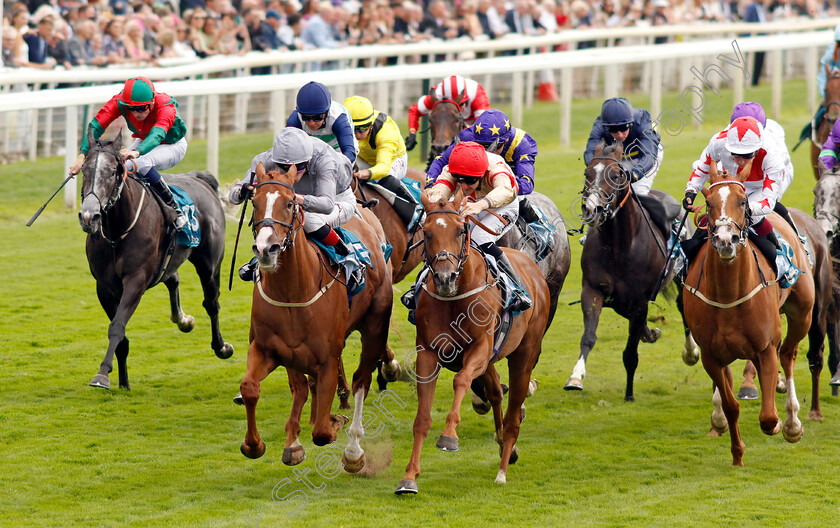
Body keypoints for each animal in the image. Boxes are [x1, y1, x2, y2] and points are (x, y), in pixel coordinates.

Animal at [78, 130, 233, 390]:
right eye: (85, 171)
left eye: (112, 172)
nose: (90, 216)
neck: (117, 232)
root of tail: (199, 178)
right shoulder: (104, 287)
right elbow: (120, 334)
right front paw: (123, 382)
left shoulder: (136, 281)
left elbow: (117, 327)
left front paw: (102, 375)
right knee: (173, 278)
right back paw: (183, 319)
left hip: (209, 264)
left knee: (212, 303)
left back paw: (221, 346)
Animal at [238, 163, 392, 472]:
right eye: (255, 202)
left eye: (289, 202)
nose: (266, 249)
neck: (292, 294)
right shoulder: (267, 348)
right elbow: (250, 388)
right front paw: (255, 444)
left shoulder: (327, 358)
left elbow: (322, 432)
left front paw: (334, 421)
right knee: (301, 387)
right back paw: (294, 442)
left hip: (375, 326)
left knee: (361, 380)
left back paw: (353, 451)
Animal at [396, 189, 552, 496]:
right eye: (426, 233)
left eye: (460, 230)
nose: (445, 278)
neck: (455, 298)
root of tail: (533, 269)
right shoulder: (429, 354)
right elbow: (422, 418)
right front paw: (409, 477)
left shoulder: (478, 348)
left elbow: (461, 381)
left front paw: (448, 436)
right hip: (493, 358)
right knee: (496, 394)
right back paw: (504, 445)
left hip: (524, 353)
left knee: (513, 414)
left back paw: (503, 469)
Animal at [684, 161, 812, 466]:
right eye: (708, 203)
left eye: (742, 202)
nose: (725, 240)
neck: (729, 294)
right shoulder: (711, 356)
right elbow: (731, 405)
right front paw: (737, 453)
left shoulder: (765, 347)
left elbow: (768, 417)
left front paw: (780, 423)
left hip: (803, 313)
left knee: (788, 355)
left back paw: (792, 422)